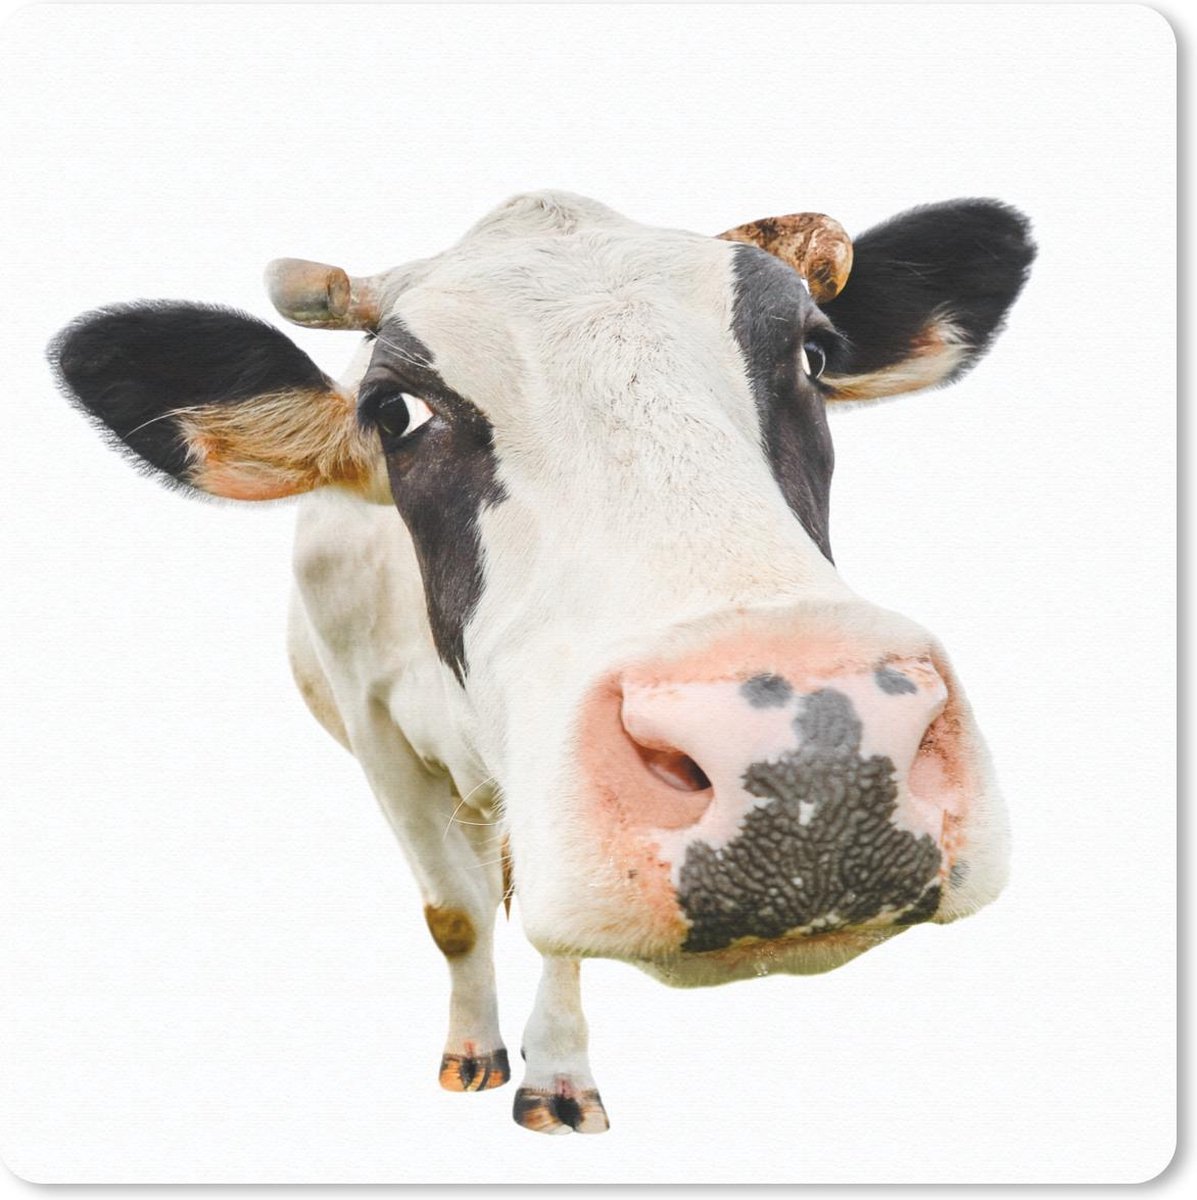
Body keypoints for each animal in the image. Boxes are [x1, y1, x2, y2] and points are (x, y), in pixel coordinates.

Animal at [49, 191, 1034, 1135]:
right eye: (392, 411)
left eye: (815, 355)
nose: (816, 768)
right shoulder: (376, 735)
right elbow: (453, 913)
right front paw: (473, 1052)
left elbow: (549, 930)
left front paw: (555, 1077)